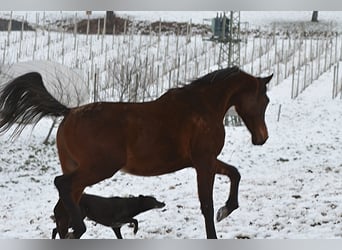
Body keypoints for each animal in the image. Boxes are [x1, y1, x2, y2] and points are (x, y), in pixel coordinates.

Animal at [0, 66, 272, 238]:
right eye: (265, 100)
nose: (262, 138)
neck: (202, 107)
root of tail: (69, 112)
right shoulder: (203, 162)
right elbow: (207, 204)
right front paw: (219, 216)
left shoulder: (203, 161)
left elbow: (235, 173)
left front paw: (226, 210)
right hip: (98, 169)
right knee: (61, 185)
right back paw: (79, 230)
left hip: (79, 170)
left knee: (61, 208)